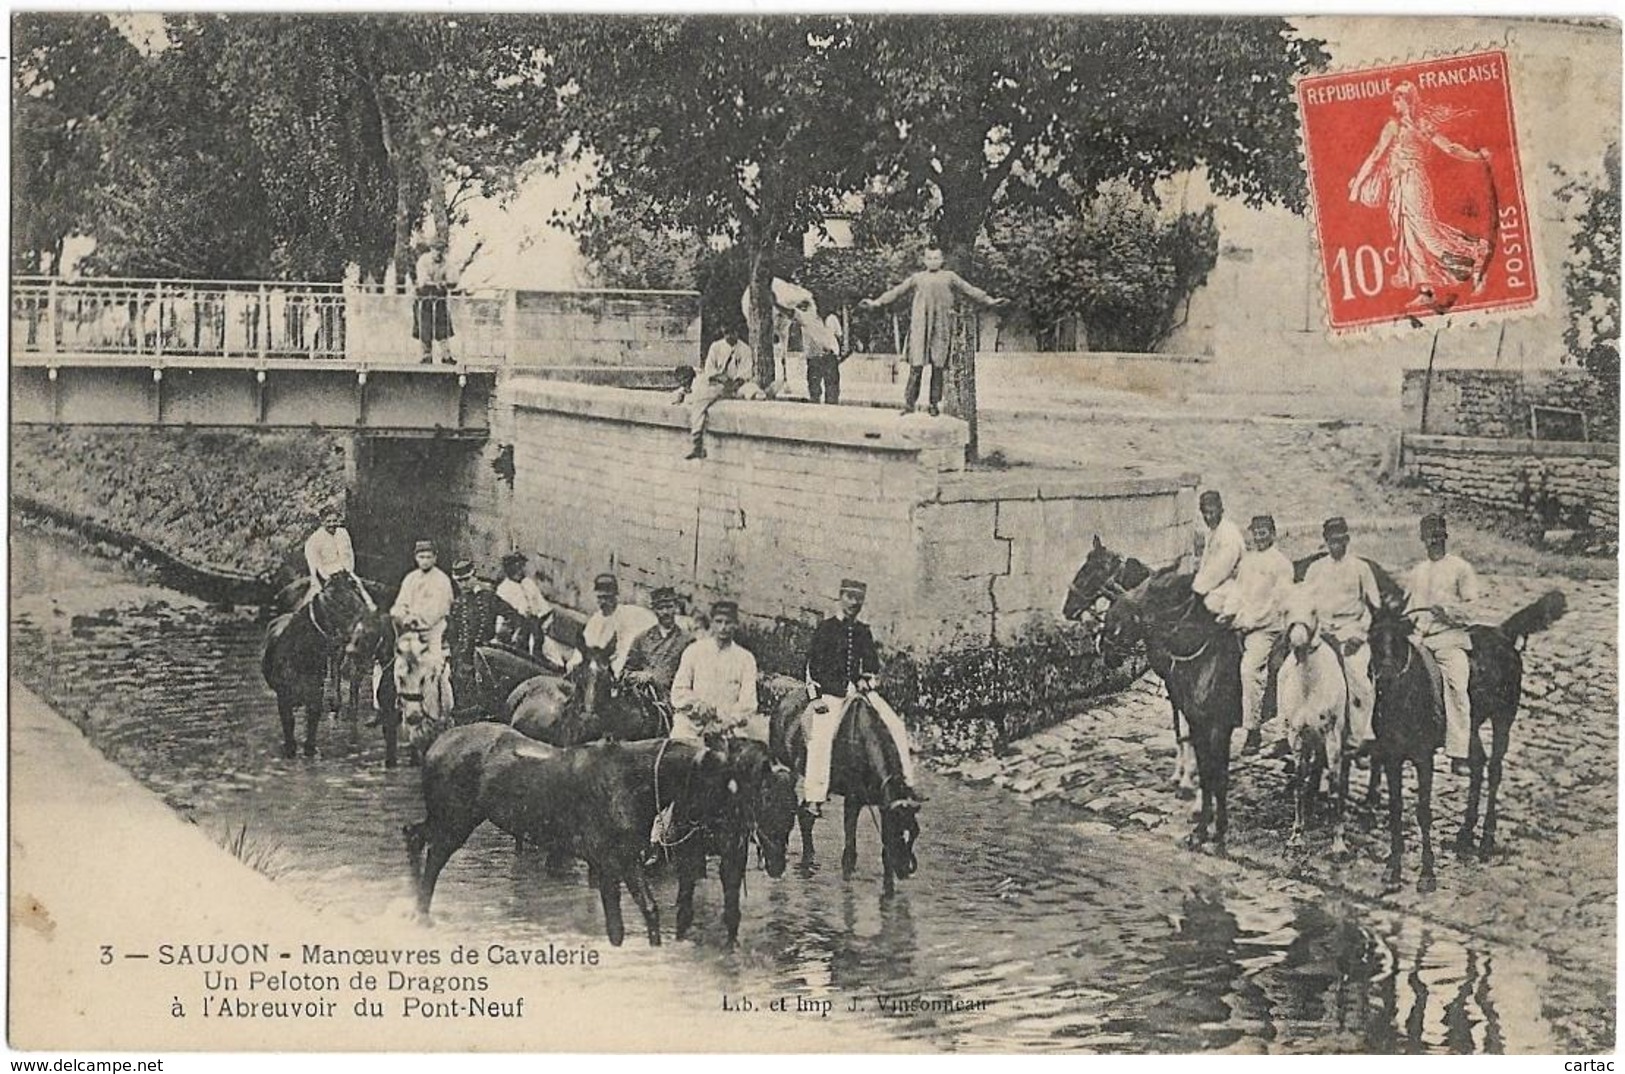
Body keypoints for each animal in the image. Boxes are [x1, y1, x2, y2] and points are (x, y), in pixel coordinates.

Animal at [261, 575, 372, 757]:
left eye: (356, 592)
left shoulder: (315, 696)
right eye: (331, 600)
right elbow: (289, 730)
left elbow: (311, 738)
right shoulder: (283, 697)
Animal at [403, 724, 789, 942]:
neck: (631, 781)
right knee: (433, 860)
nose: (774, 854)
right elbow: (618, 924)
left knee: (413, 834)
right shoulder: (607, 863)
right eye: (749, 778)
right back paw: (421, 914)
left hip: (450, 818)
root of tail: (437, 744)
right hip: (455, 822)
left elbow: (649, 911)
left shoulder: (627, 861)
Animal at [770, 692, 923, 890]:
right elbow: (850, 853)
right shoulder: (852, 800)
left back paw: (810, 856)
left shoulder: (884, 805)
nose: (906, 869)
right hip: (789, 771)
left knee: (805, 815)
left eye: (915, 833)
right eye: (897, 831)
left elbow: (885, 857)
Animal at [1274, 584, 1352, 851]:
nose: (1298, 645)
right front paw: (1297, 833)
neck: (1309, 685)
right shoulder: (1297, 737)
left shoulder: (1332, 738)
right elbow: (1300, 781)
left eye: (1314, 610)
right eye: (1285, 609)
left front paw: (1338, 842)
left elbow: (1336, 786)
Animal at [1365, 584, 1566, 890]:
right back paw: (1465, 833)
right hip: (1470, 726)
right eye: (1371, 636)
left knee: (1493, 769)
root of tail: (1502, 634)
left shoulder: (1423, 757)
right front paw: (1393, 869)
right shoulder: (1391, 756)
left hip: (1503, 718)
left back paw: (1485, 840)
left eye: (1401, 636)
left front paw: (1427, 874)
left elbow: (1423, 812)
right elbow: (1396, 808)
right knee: (1478, 764)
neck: (1405, 696)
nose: (1385, 676)